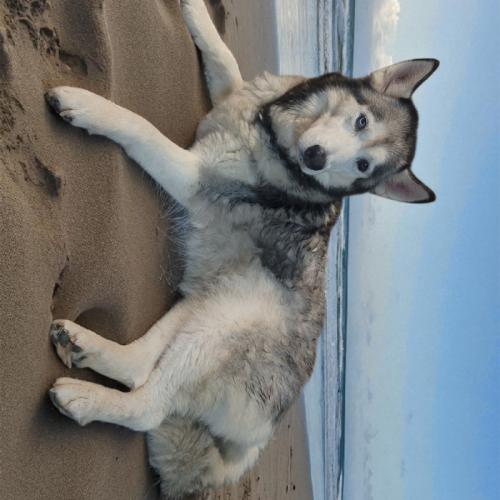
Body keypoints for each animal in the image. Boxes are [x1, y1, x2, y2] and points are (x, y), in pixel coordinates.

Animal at [44, 0, 438, 497]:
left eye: (364, 165)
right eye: (361, 121)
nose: (316, 159)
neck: (274, 134)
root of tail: (256, 441)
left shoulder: (194, 174)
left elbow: (141, 127)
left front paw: (90, 106)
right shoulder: (235, 94)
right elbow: (223, 57)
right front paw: (195, 12)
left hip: (225, 327)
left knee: (147, 408)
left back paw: (82, 398)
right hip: (206, 305)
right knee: (139, 366)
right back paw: (83, 346)